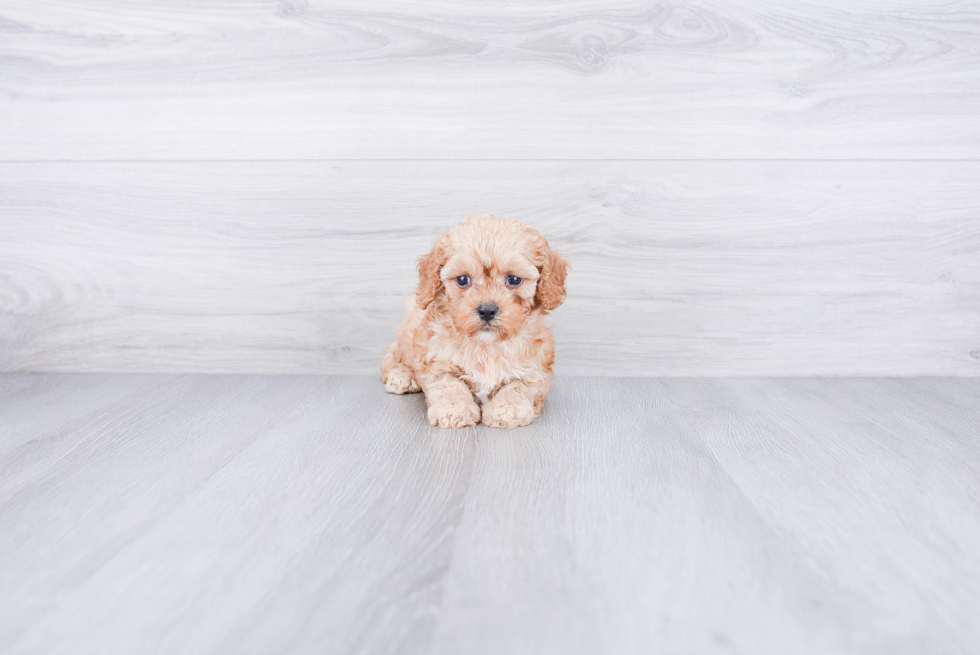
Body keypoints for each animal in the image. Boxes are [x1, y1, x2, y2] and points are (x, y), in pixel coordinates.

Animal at [380, 215, 568, 430]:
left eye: (513, 279)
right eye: (462, 279)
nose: (487, 310)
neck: (486, 345)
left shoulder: (535, 371)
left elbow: (518, 386)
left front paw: (507, 409)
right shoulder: (436, 362)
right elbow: (449, 383)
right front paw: (454, 409)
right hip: (407, 334)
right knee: (392, 355)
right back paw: (401, 376)